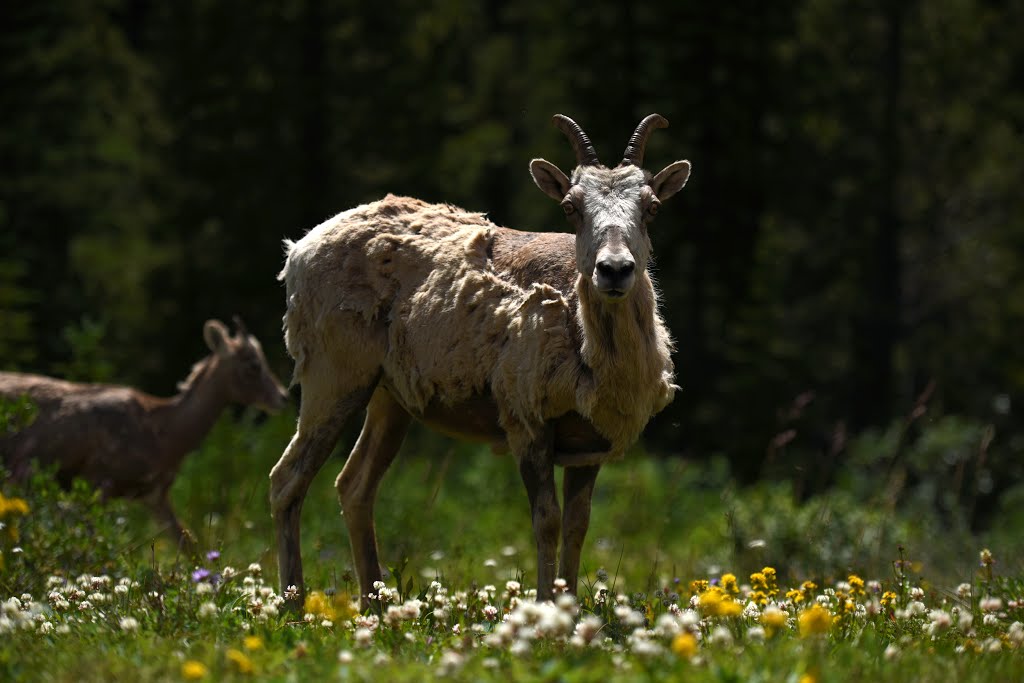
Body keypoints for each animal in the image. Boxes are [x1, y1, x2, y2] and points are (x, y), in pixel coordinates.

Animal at [1, 317, 288, 548]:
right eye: (253, 364)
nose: (283, 397)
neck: (163, 432)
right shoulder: (98, 480)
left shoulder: (154, 494)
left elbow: (189, 545)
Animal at [268, 113, 692, 610]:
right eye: (571, 207)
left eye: (651, 207)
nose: (614, 270)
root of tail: (297, 251)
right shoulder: (525, 421)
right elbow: (546, 522)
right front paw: (544, 610)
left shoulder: (589, 443)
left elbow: (577, 526)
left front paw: (567, 611)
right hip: (332, 375)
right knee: (287, 480)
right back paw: (293, 606)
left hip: (389, 397)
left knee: (354, 486)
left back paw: (374, 603)